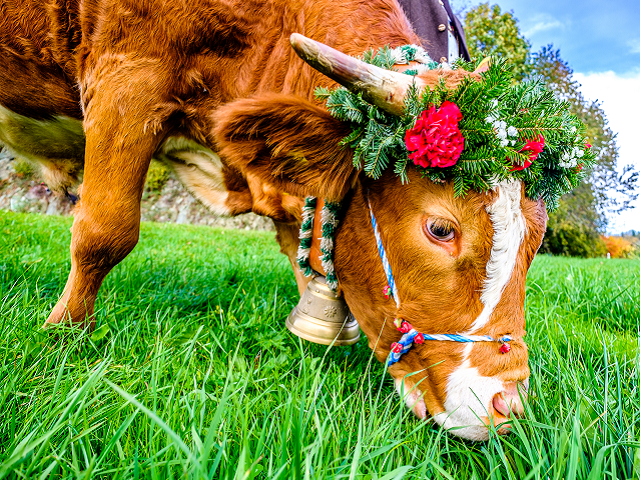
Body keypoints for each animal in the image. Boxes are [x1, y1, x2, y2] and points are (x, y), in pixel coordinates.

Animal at [1, 0, 552, 438]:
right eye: (440, 229)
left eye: (539, 238)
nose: (507, 408)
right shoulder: (129, 74)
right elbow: (105, 231)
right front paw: (64, 337)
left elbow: (304, 259)